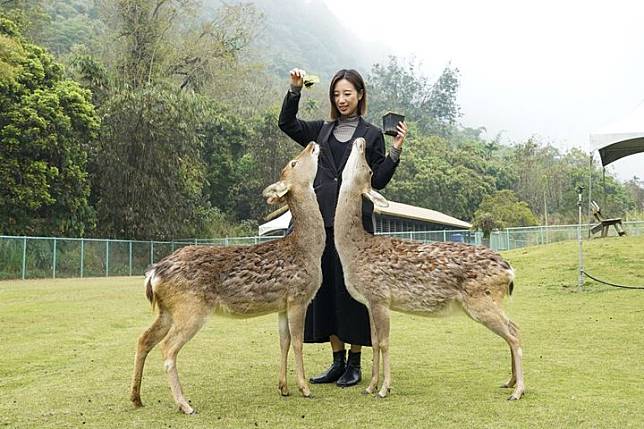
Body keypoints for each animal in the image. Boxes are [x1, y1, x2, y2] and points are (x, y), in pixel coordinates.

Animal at [130, 142, 328, 412]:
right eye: (293, 163)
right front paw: (304, 388)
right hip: (191, 308)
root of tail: (153, 274)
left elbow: (283, 342)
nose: (312, 144)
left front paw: (283, 388)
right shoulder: (298, 295)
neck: (308, 249)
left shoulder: (281, 304)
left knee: (144, 339)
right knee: (167, 348)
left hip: (168, 310)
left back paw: (136, 398)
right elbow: (298, 342)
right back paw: (184, 404)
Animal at [332, 139, 524, 400]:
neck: (355, 252)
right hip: (492, 300)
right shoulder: (370, 302)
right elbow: (374, 341)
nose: (360, 141)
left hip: (481, 300)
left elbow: (384, 343)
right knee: (514, 327)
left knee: (513, 335)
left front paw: (384, 388)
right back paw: (509, 382)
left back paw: (518, 390)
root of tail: (509, 271)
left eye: (370, 170)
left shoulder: (380, 296)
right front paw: (370, 387)